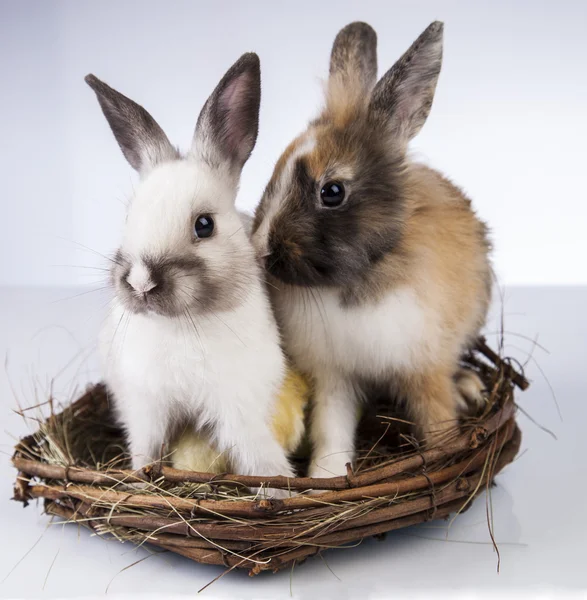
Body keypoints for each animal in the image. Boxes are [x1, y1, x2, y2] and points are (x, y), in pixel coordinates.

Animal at [87, 54, 296, 490]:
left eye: (204, 225)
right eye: (129, 217)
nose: (141, 283)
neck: (183, 326)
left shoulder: (239, 405)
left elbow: (257, 452)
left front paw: (279, 488)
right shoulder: (145, 407)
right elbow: (146, 449)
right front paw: (139, 480)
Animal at [252, 21, 492, 478]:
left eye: (332, 192)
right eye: (271, 176)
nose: (263, 252)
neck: (358, 278)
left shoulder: (425, 365)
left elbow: (436, 416)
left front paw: (444, 453)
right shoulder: (334, 377)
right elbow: (332, 429)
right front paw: (326, 475)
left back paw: (469, 387)